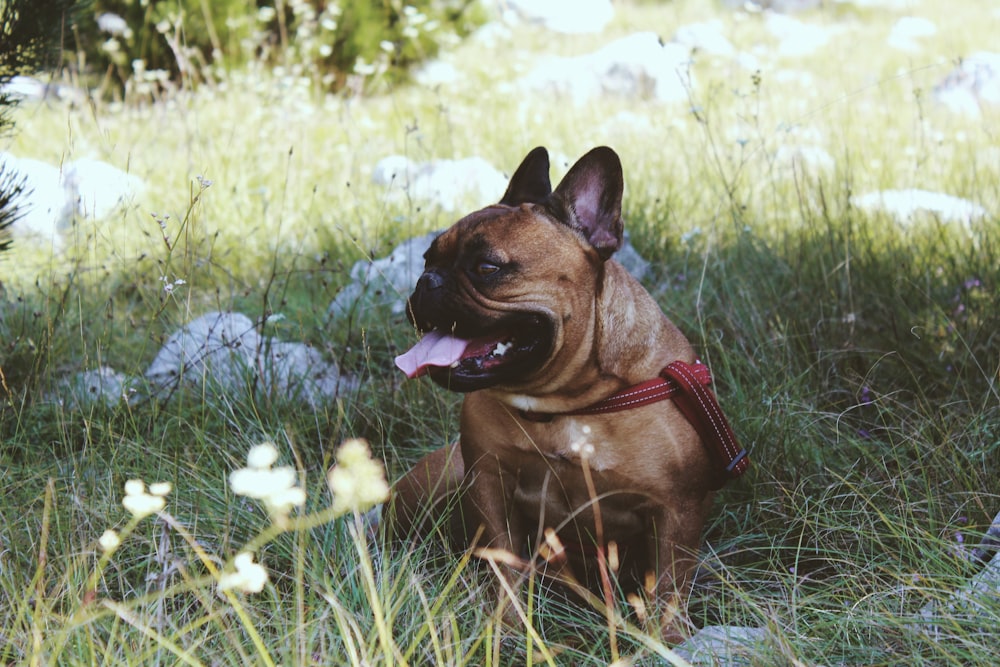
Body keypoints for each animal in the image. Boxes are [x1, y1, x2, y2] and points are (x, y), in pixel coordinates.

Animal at [386, 146, 748, 640]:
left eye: (487, 268)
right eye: (426, 259)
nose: (427, 282)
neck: (565, 404)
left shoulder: (677, 511)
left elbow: (669, 587)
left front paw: (668, 641)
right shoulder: (488, 483)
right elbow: (505, 565)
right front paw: (508, 628)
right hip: (434, 484)